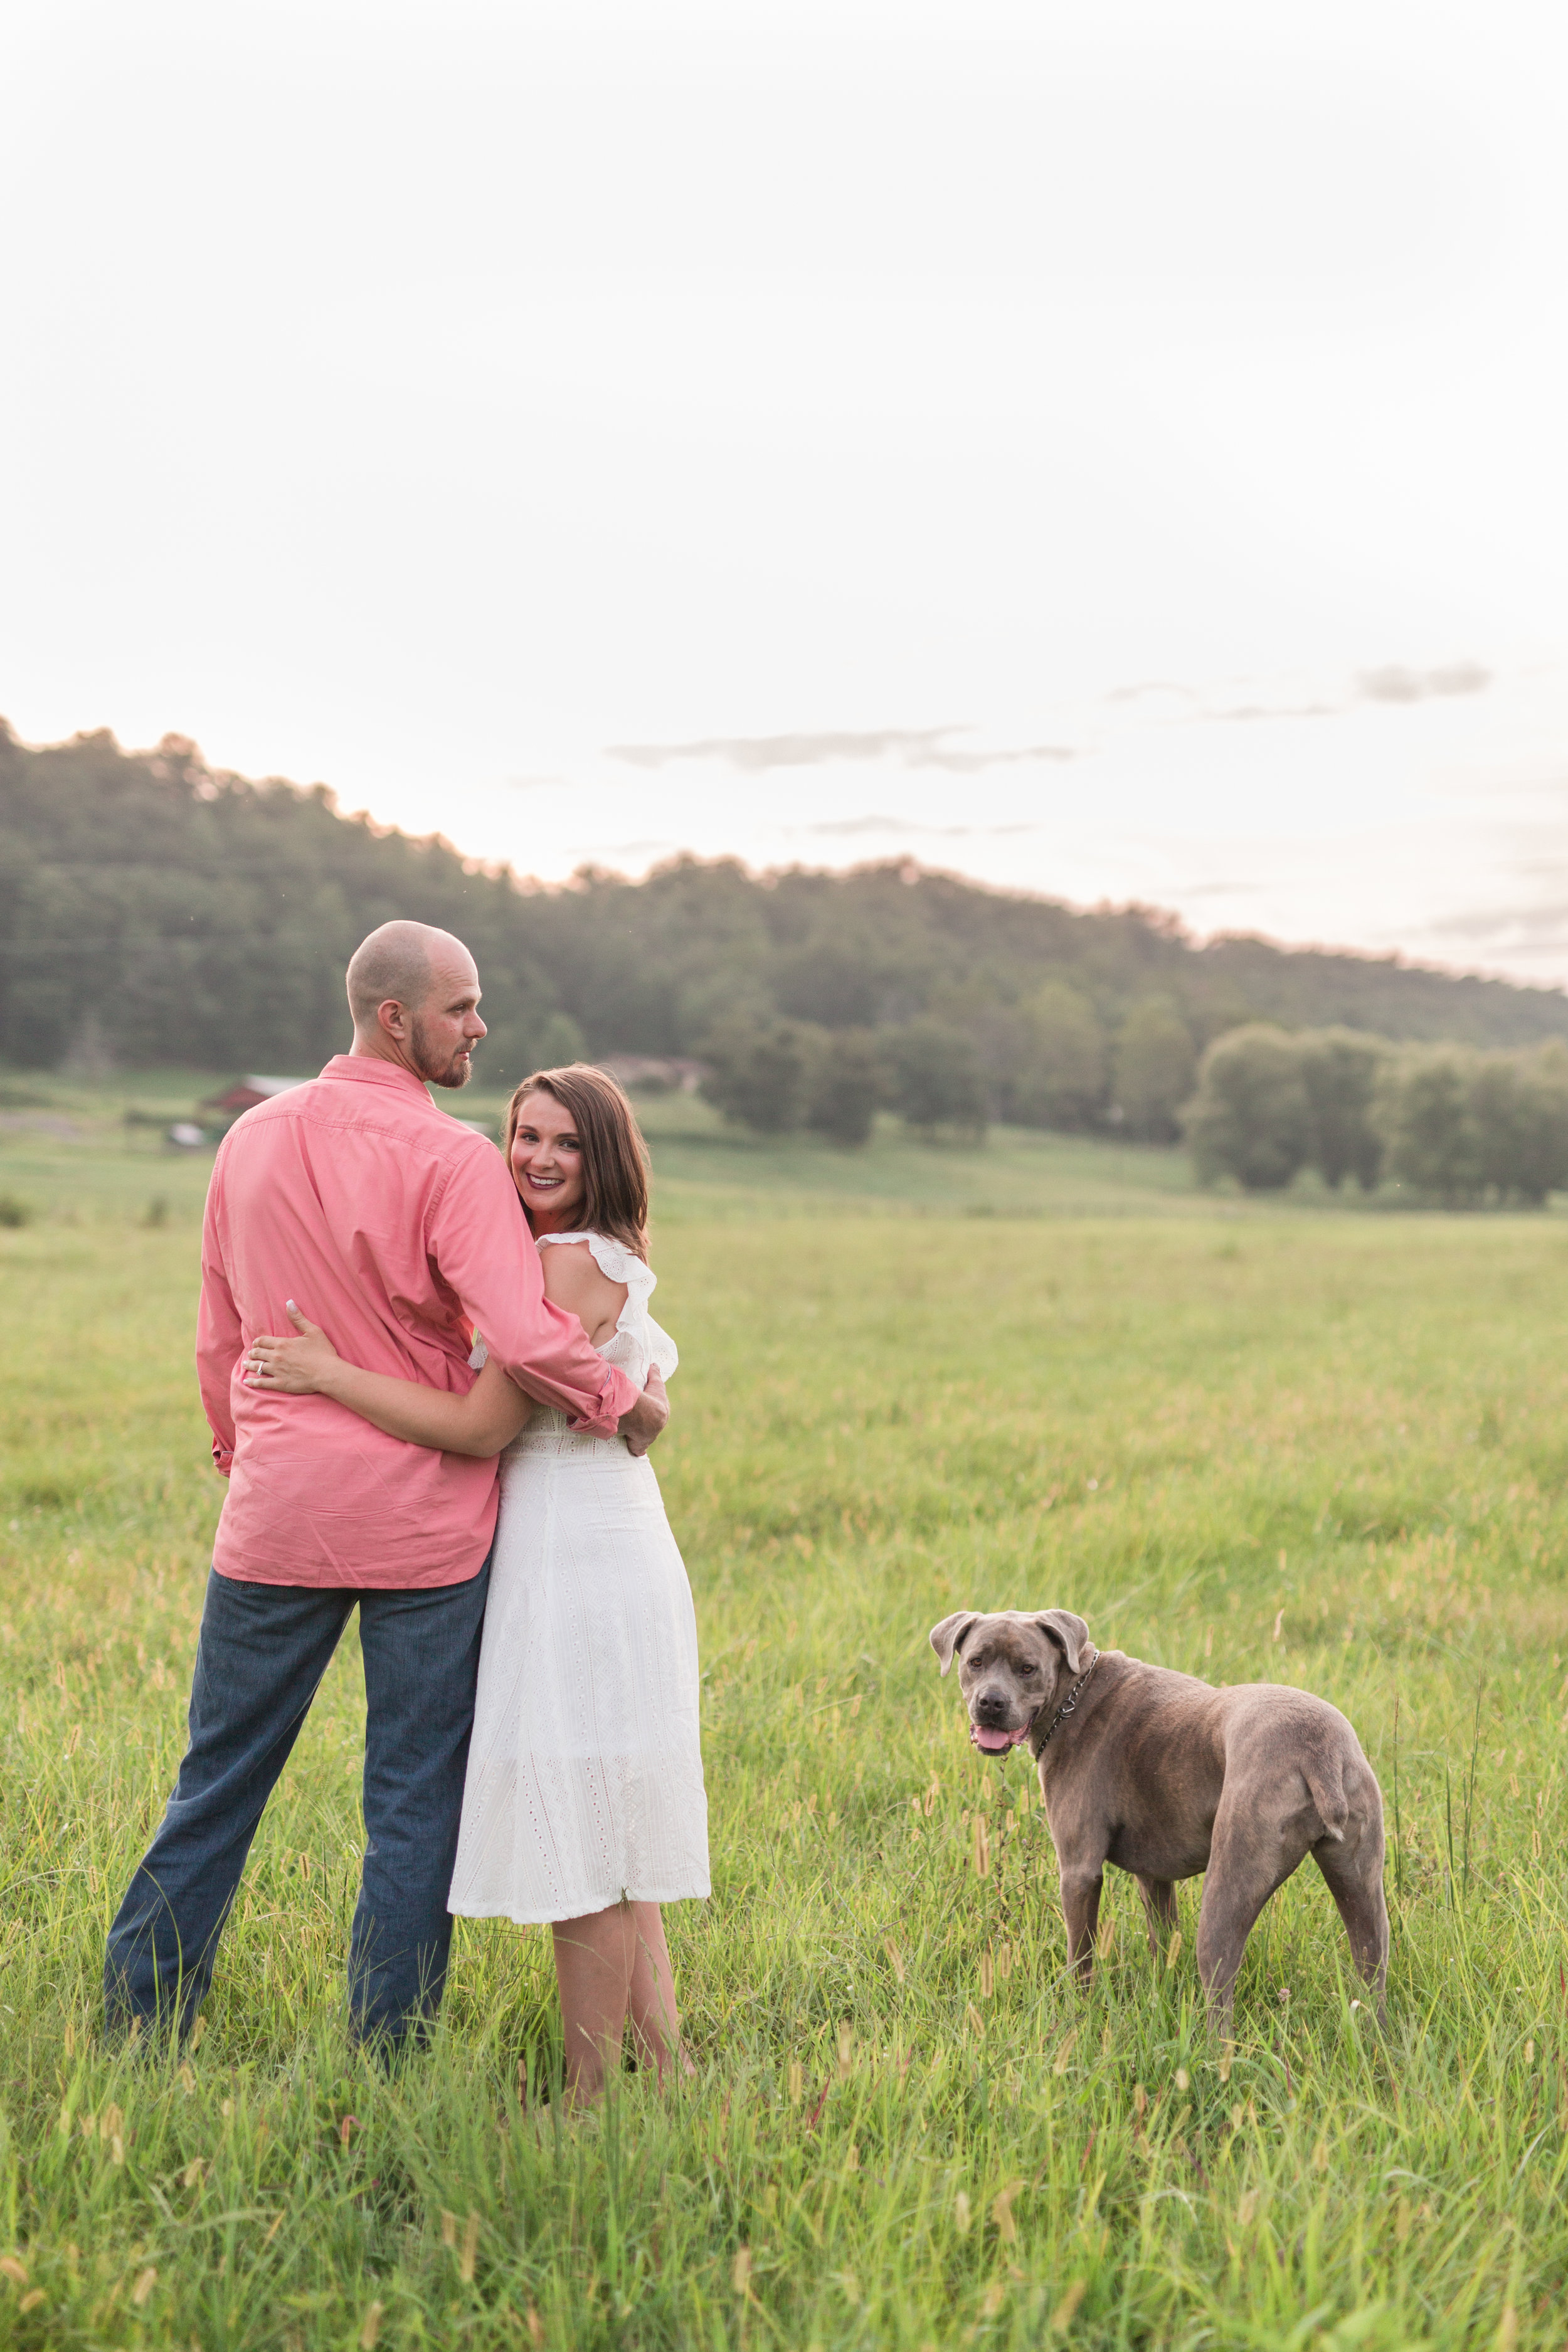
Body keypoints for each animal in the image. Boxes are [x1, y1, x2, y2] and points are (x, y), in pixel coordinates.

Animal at [926, 1609, 1391, 2032]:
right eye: (976, 1662)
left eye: (1028, 1668)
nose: (991, 1703)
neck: (1073, 1694)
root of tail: (1317, 1750)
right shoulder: (1154, 1876)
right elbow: (1163, 1942)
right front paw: (1159, 1990)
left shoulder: (1079, 1872)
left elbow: (1082, 1957)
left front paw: (1079, 2016)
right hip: (1361, 1887)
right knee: (1372, 1969)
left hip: (1229, 1887)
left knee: (1220, 1996)